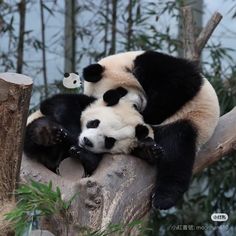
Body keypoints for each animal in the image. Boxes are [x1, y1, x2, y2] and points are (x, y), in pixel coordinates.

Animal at [82, 50, 220, 209]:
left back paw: (163, 198)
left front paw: (147, 115)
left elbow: (180, 85)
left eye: (118, 92)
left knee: (176, 153)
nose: (135, 107)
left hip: (190, 119)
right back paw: (145, 150)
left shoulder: (152, 63)